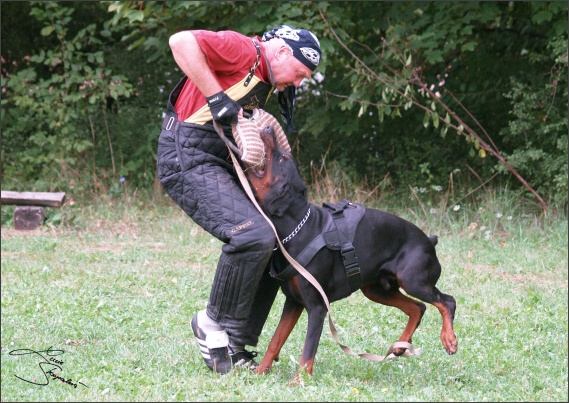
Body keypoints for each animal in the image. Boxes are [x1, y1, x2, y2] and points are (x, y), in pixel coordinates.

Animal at [245, 129, 458, 378]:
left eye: (282, 158)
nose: (269, 129)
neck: (297, 228)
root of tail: (429, 241)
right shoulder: (293, 301)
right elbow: (275, 339)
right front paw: (261, 371)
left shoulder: (317, 307)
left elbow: (308, 350)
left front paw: (298, 381)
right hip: (376, 289)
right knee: (418, 307)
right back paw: (399, 346)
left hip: (413, 281)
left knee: (446, 301)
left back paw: (449, 339)